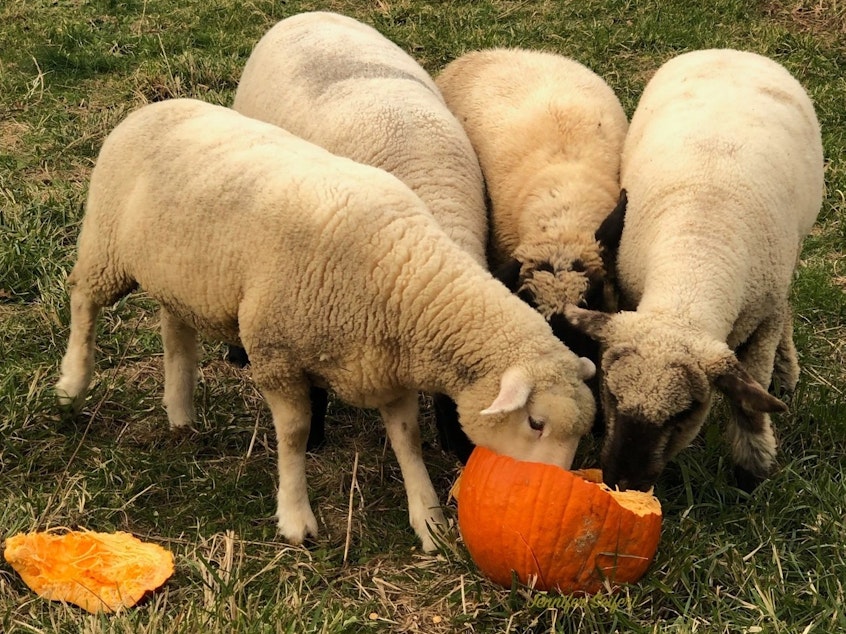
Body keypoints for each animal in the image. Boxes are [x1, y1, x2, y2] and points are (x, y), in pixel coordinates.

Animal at [54, 97, 596, 548]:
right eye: (536, 422)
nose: (555, 496)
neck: (403, 277)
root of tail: (152, 107)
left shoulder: (384, 367)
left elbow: (408, 441)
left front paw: (429, 520)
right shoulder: (275, 353)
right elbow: (294, 435)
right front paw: (296, 518)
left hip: (184, 278)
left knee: (174, 332)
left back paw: (180, 413)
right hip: (106, 246)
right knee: (83, 300)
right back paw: (72, 385)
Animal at [568, 50, 824, 494]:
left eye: (684, 412)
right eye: (612, 394)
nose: (623, 483)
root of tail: (733, 52)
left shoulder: (761, 323)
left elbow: (749, 405)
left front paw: (751, 471)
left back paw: (785, 372)